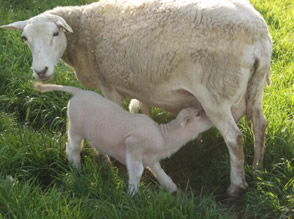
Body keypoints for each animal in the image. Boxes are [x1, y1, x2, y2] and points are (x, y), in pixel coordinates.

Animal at [33, 81, 212, 194]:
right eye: (197, 114)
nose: (210, 118)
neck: (164, 137)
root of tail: (79, 92)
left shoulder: (151, 158)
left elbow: (159, 171)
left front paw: (172, 188)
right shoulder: (133, 145)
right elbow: (137, 172)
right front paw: (133, 194)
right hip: (76, 128)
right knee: (73, 148)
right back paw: (76, 167)